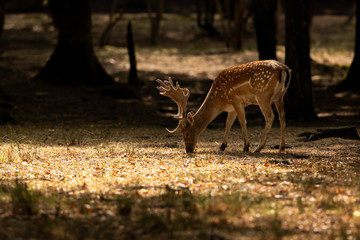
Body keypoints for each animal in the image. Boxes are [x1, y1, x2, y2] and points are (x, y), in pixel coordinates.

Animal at [156, 60, 292, 154]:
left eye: (187, 133)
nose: (188, 150)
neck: (219, 101)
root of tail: (284, 69)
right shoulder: (231, 108)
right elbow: (228, 123)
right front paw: (222, 146)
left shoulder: (236, 100)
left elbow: (242, 122)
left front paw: (246, 147)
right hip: (280, 96)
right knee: (282, 117)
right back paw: (281, 147)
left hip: (262, 95)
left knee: (270, 116)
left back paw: (258, 148)